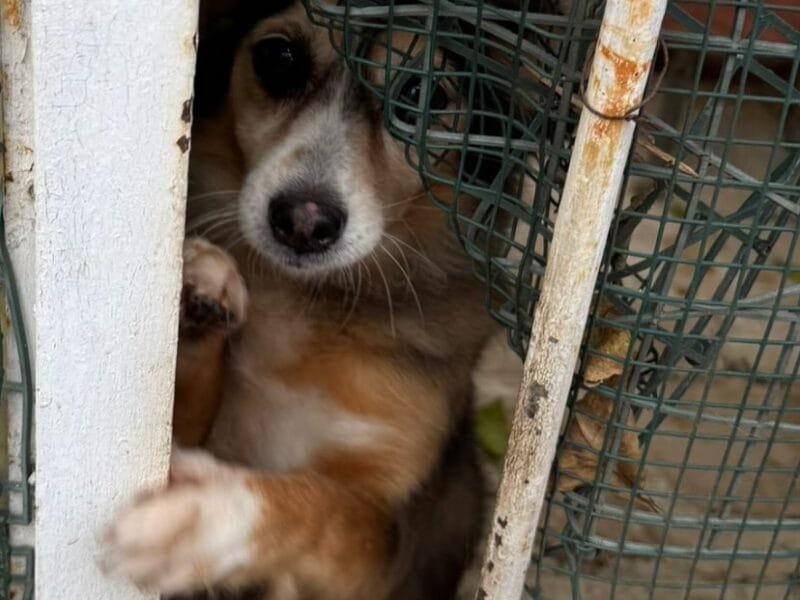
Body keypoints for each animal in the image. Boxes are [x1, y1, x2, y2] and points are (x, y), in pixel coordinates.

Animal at [103, 2, 496, 596]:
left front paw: (211, 516)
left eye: (424, 93)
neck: (304, 301)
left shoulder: (385, 541)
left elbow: (328, 512)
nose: (303, 223)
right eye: (279, 57)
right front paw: (204, 292)